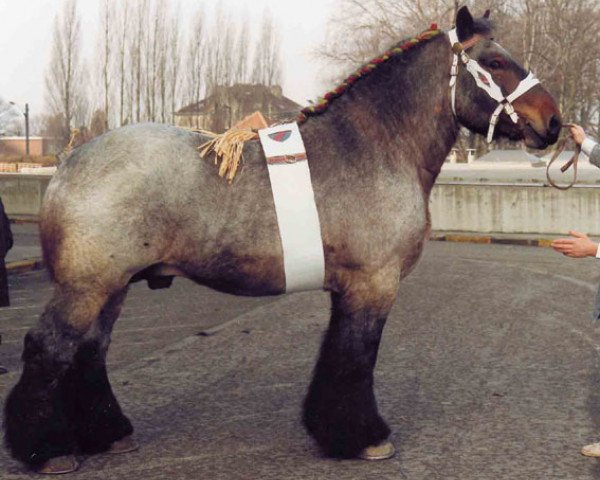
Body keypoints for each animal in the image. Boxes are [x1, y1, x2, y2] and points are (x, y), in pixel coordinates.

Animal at [3, 5, 564, 474]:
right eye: (495, 61)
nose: (553, 122)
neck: (375, 145)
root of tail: (69, 161)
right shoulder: (374, 284)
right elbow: (356, 359)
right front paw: (365, 439)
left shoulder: (349, 288)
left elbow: (337, 356)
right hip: (87, 287)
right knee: (48, 348)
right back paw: (46, 450)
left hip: (111, 287)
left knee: (88, 352)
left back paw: (107, 434)